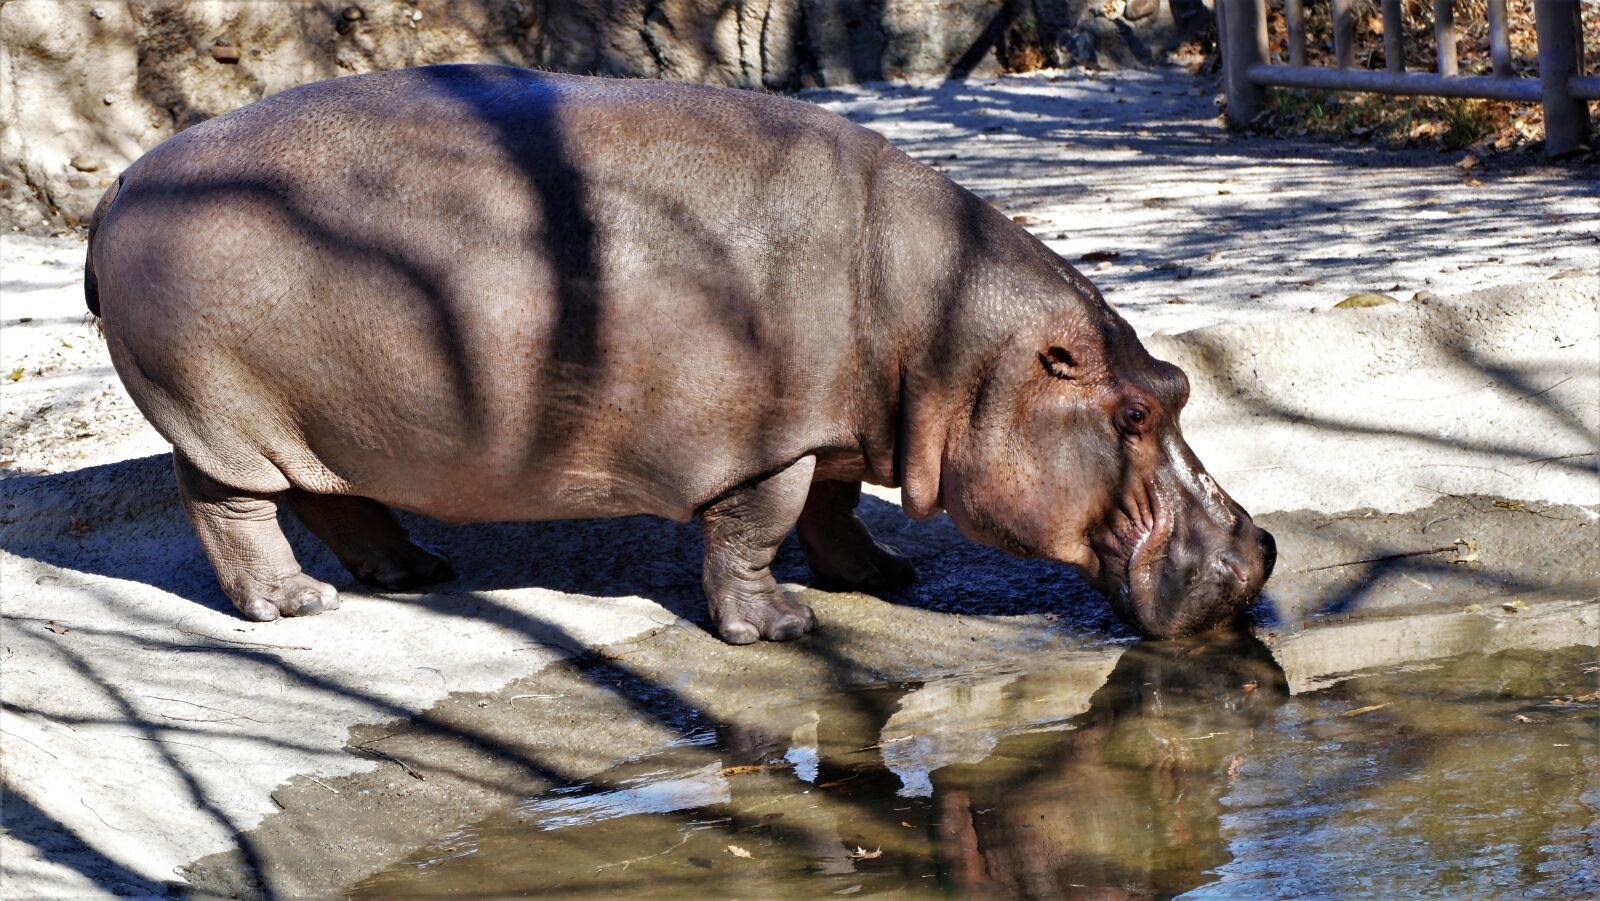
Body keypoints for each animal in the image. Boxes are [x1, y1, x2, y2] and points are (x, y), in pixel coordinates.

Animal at [84, 65, 1274, 643]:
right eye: (1132, 415)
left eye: (1175, 384)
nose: (1258, 556)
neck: (952, 344)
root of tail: (123, 185)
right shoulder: (769, 444)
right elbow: (756, 531)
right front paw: (782, 627)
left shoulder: (834, 428)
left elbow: (835, 509)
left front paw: (886, 576)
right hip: (222, 422)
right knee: (231, 510)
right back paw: (295, 607)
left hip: (331, 422)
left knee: (341, 501)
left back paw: (415, 573)